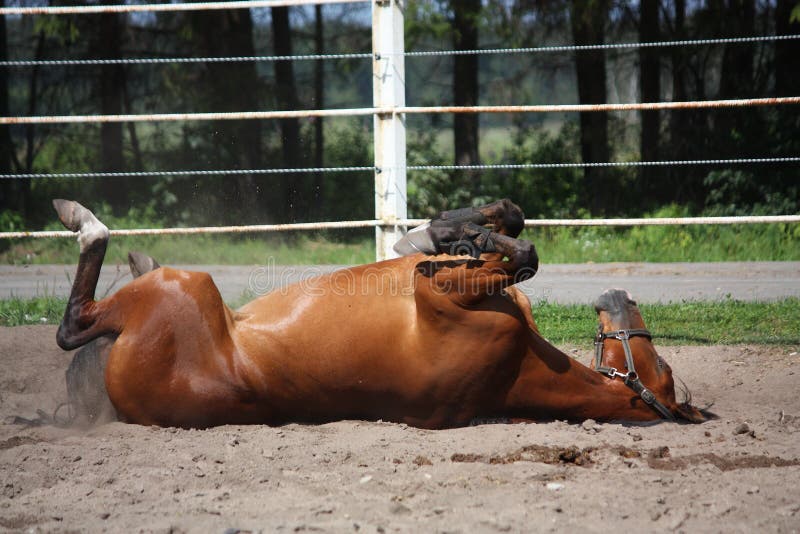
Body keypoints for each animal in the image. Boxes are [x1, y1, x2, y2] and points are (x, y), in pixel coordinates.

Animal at [51, 199, 708, 430]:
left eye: (664, 370)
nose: (620, 298)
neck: (513, 371)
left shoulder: (437, 297)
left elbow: (521, 258)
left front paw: (479, 239)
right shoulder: (430, 277)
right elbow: (498, 236)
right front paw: (463, 228)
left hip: (186, 288)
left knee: (74, 325)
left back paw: (86, 221)